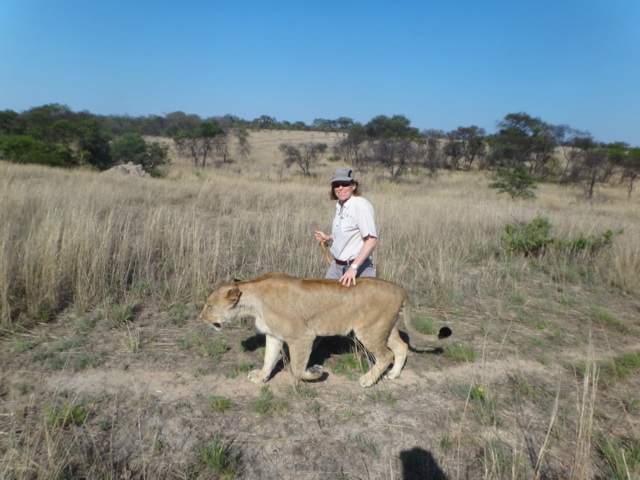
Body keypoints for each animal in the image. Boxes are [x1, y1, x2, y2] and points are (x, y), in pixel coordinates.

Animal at [200, 272, 452, 388]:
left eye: (210, 306)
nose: (201, 318)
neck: (253, 300)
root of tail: (400, 289)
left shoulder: (302, 336)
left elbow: (297, 369)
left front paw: (316, 372)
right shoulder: (273, 335)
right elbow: (269, 359)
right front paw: (261, 377)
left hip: (369, 330)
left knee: (386, 355)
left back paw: (368, 380)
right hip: (384, 328)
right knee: (401, 347)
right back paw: (393, 374)